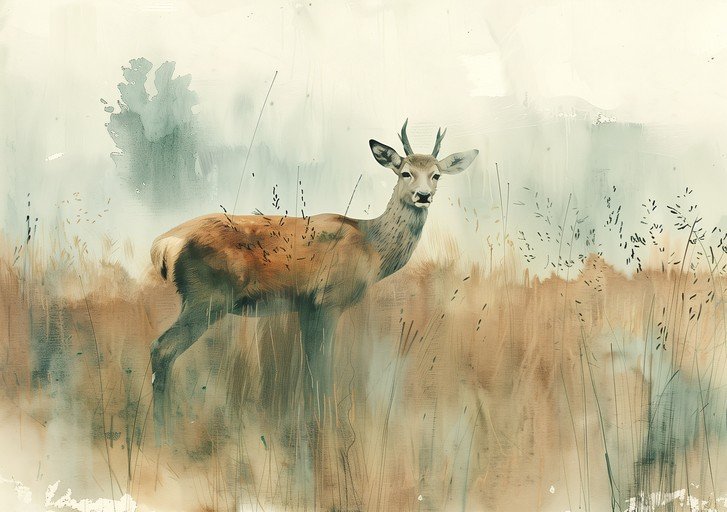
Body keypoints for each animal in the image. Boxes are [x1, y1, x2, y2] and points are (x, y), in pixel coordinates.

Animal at [149, 120, 478, 433]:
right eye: (406, 173)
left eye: (436, 175)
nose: (423, 196)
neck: (371, 247)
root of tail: (166, 243)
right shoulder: (328, 300)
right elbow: (322, 368)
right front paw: (327, 425)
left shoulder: (306, 306)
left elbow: (309, 367)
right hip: (208, 296)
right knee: (162, 349)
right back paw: (164, 431)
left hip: (197, 298)